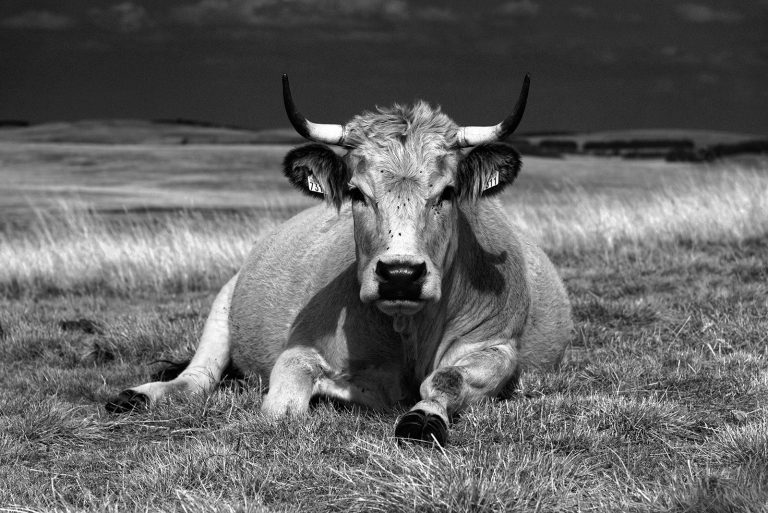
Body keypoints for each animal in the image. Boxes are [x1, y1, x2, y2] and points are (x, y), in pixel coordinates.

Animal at [106, 74, 573, 446]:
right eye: (356, 192)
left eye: (447, 192)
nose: (400, 274)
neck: (408, 330)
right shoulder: (303, 346)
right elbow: (283, 400)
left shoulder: (497, 347)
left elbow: (446, 377)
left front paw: (423, 417)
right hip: (222, 307)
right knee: (195, 377)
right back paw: (137, 395)